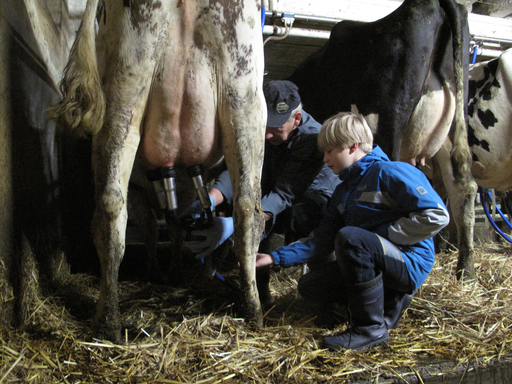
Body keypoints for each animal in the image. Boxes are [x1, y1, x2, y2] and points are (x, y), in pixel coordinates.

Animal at [49, 0, 266, 340]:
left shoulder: (146, 192)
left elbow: (159, 227)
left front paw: (164, 270)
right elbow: (168, 226)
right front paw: (172, 270)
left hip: (126, 84)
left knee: (111, 207)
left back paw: (107, 322)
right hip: (242, 93)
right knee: (247, 210)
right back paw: (252, 309)